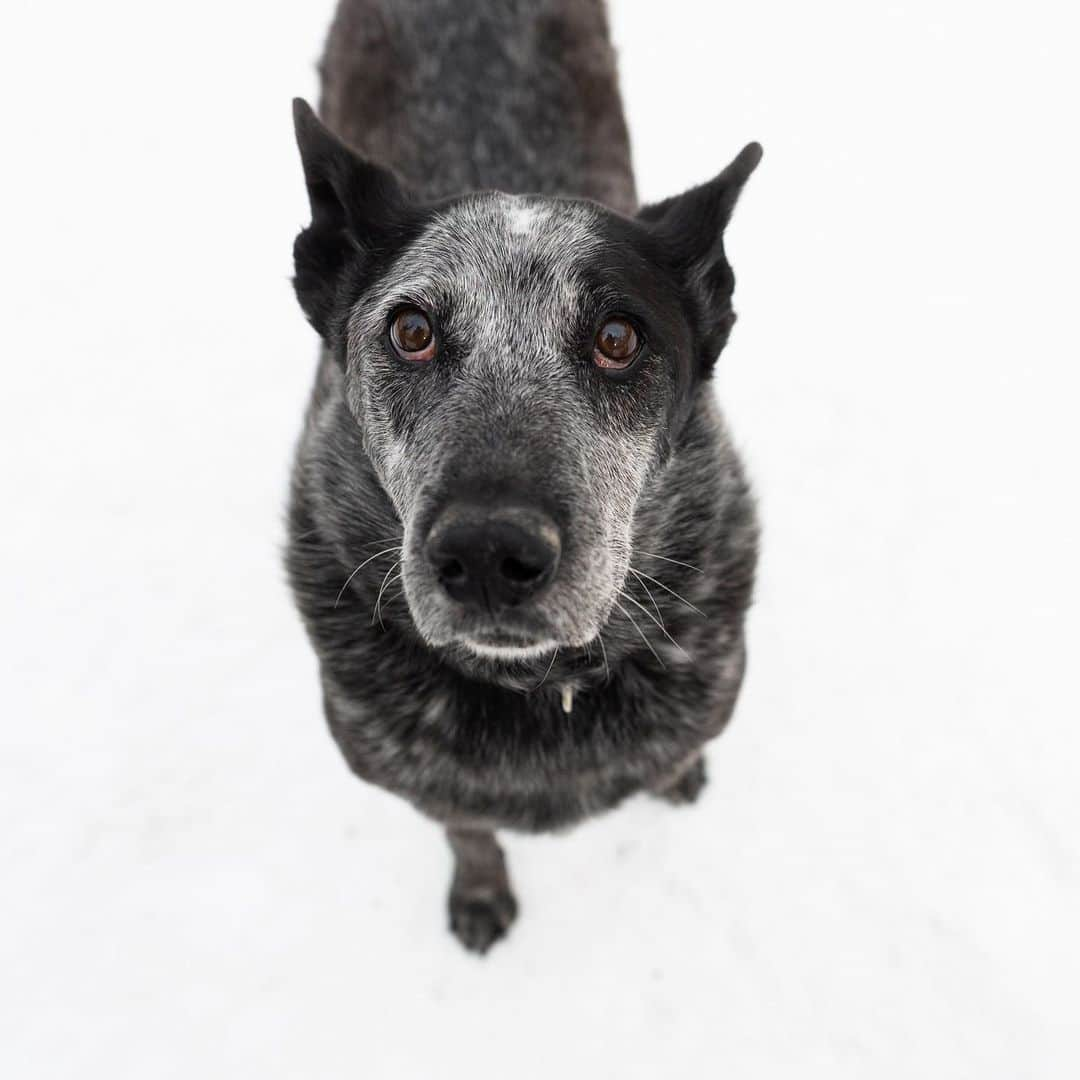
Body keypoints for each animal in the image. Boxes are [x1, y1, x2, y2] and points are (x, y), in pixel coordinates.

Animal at [285, 0, 760, 954]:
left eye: (618, 338)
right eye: (411, 330)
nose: (487, 553)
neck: (546, 689)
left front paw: (677, 775)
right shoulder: (421, 784)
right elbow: (467, 830)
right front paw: (480, 893)